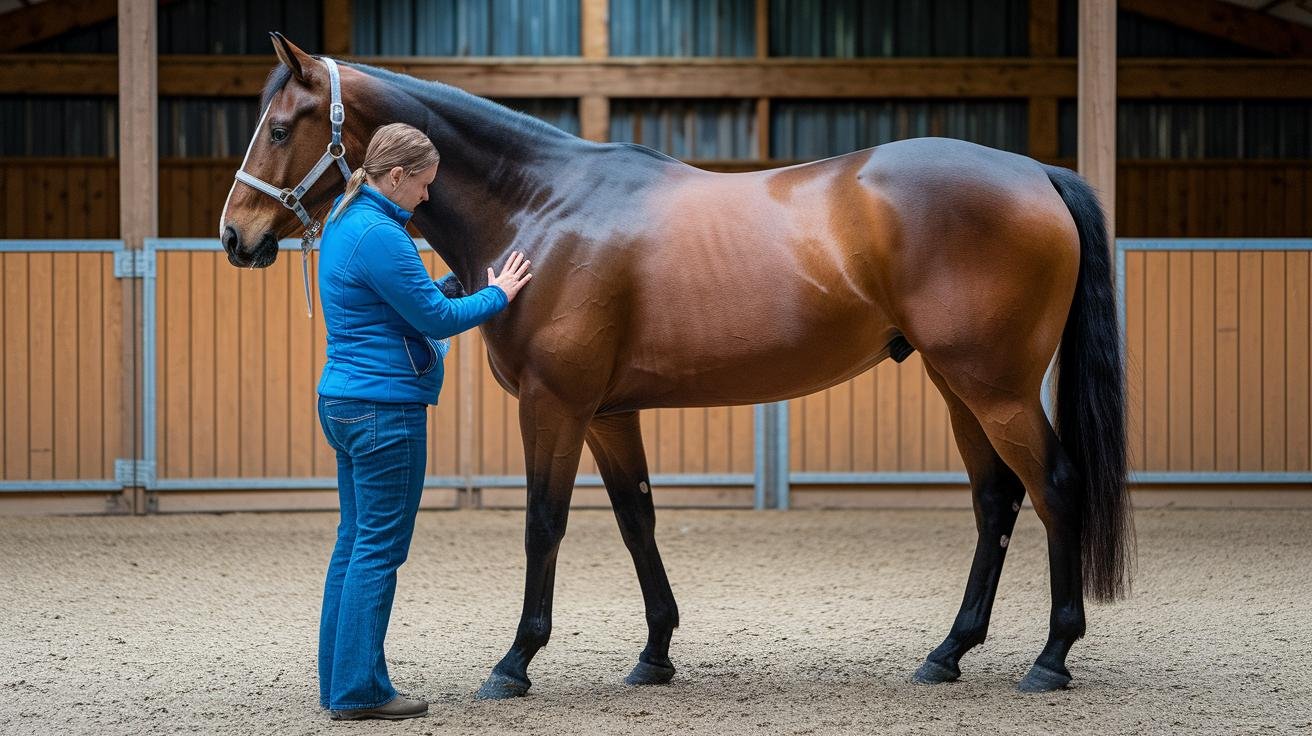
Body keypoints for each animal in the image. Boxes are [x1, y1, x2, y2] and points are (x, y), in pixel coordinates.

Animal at [220, 33, 1132, 697]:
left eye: (278, 127)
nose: (236, 237)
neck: (542, 204)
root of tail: (1038, 172)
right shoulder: (609, 413)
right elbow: (638, 520)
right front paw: (654, 654)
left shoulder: (553, 405)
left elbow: (543, 523)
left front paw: (514, 665)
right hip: (958, 385)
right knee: (995, 500)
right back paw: (948, 653)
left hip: (995, 387)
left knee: (1053, 487)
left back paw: (1051, 658)